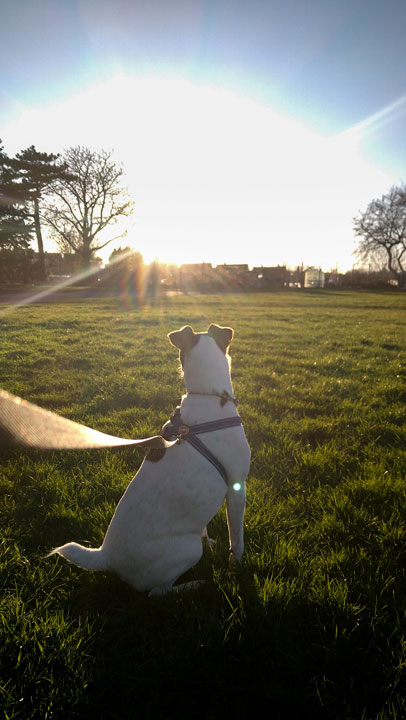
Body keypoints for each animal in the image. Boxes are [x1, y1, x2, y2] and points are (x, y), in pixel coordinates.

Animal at [50, 326, 251, 596]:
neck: (209, 397)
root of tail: (106, 556)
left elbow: (203, 526)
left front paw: (208, 538)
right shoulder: (237, 487)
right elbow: (236, 539)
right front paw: (236, 566)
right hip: (187, 550)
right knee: (159, 591)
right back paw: (194, 585)